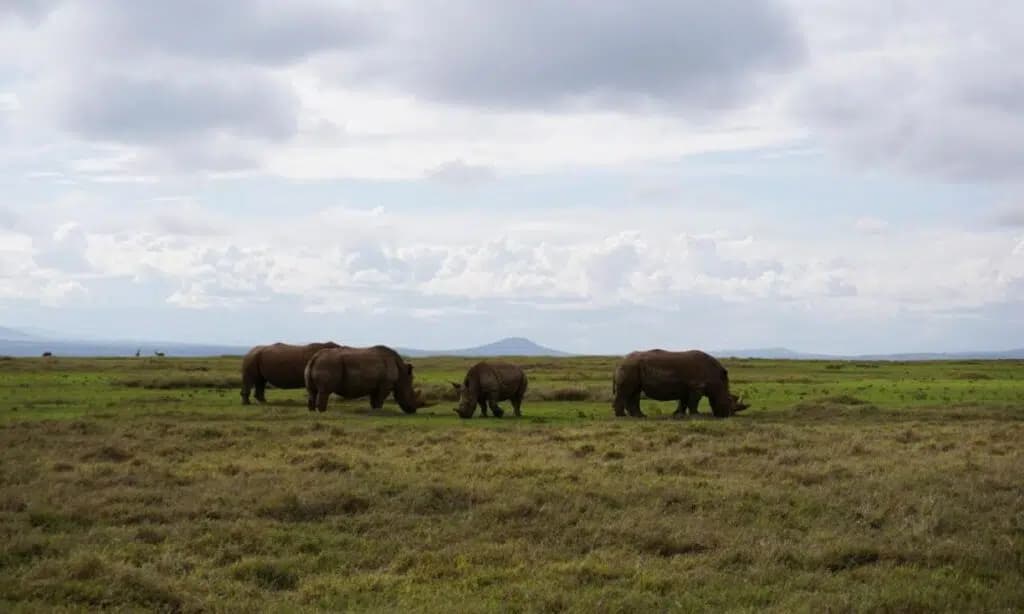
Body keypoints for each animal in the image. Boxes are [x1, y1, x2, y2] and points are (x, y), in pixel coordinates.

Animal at [612, 349, 748, 418]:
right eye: (728, 400)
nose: (728, 415)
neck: (718, 380)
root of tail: (620, 362)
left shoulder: (687, 387)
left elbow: (683, 401)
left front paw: (678, 414)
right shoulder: (697, 386)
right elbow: (694, 402)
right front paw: (697, 415)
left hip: (631, 368)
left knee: (634, 391)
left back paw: (639, 416)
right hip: (629, 368)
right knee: (627, 392)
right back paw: (622, 416)